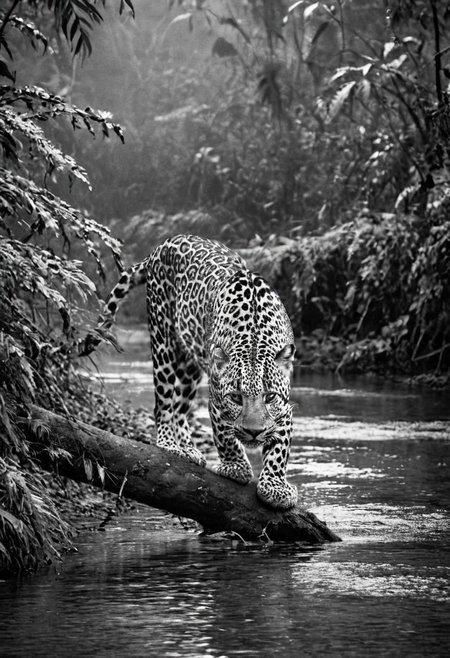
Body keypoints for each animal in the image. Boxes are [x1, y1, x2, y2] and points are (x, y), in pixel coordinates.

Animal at [81, 234, 298, 510]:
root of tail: (162, 246)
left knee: (180, 407)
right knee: (163, 404)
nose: (253, 432)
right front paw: (236, 468)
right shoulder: (217, 401)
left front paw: (275, 486)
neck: (254, 339)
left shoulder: (285, 407)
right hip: (163, 341)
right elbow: (224, 434)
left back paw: (188, 448)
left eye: (270, 397)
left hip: (190, 365)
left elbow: (279, 448)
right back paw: (170, 444)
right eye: (236, 398)